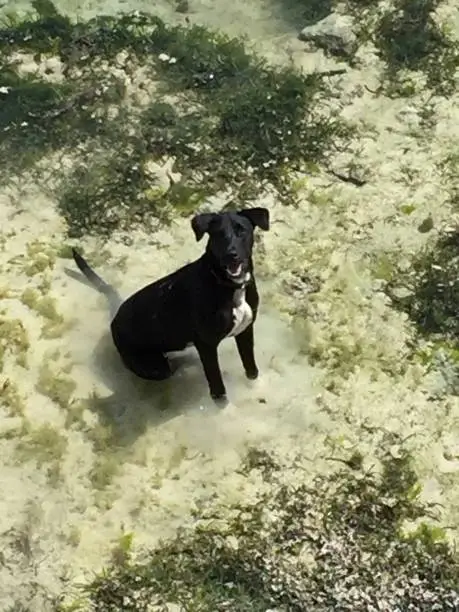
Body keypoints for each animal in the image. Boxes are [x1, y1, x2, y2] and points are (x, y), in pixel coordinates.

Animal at [71, 208, 270, 404]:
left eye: (241, 231)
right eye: (218, 234)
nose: (231, 255)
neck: (229, 285)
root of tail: (114, 318)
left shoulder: (245, 330)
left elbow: (251, 368)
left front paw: (256, 388)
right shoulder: (206, 345)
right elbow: (218, 389)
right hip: (154, 367)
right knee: (169, 369)